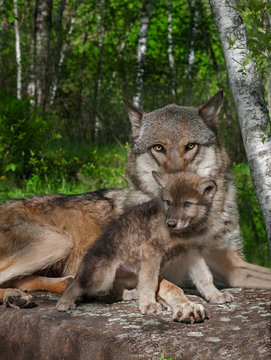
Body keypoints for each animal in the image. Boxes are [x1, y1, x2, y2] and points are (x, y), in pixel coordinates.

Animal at [55, 172, 225, 324]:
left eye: (187, 203)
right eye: (168, 202)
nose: (170, 223)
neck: (182, 233)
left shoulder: (192, 253)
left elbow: (205, 277)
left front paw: (215, 295)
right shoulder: (152, 251)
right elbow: (150, 282)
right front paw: (149, 305)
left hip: (128, 274)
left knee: (116, 288)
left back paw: (129, 294)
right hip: (102, 276)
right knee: (75, 283)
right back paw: (64, 303)